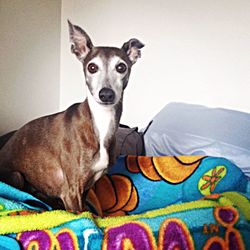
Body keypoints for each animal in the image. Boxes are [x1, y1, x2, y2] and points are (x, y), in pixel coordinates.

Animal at [0, 21, 145, 211]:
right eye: (92, 67)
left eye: (121, 67)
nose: (106, 94)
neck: (99, 122)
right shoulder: (71, 191)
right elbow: (83, 213)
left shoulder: (85, 189)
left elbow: (89, 211)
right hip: (16, 175)